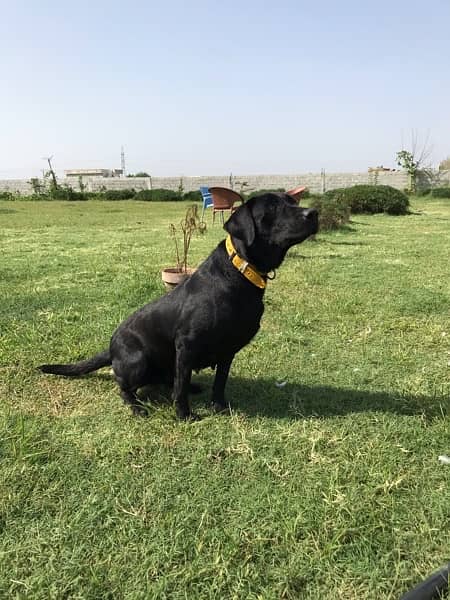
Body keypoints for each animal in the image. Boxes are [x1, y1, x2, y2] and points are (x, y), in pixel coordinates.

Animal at [39, 195, 320, 420]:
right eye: (272, 207)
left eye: (292, 201)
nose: (314, 213)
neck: (241, 271)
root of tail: (110, 349)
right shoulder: (186, 344)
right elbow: (181, 386)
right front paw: (184, 415)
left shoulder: (228, 349)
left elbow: (219, 382)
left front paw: (219, 407)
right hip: (138, 360)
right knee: (125, 387)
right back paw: (137, 406)